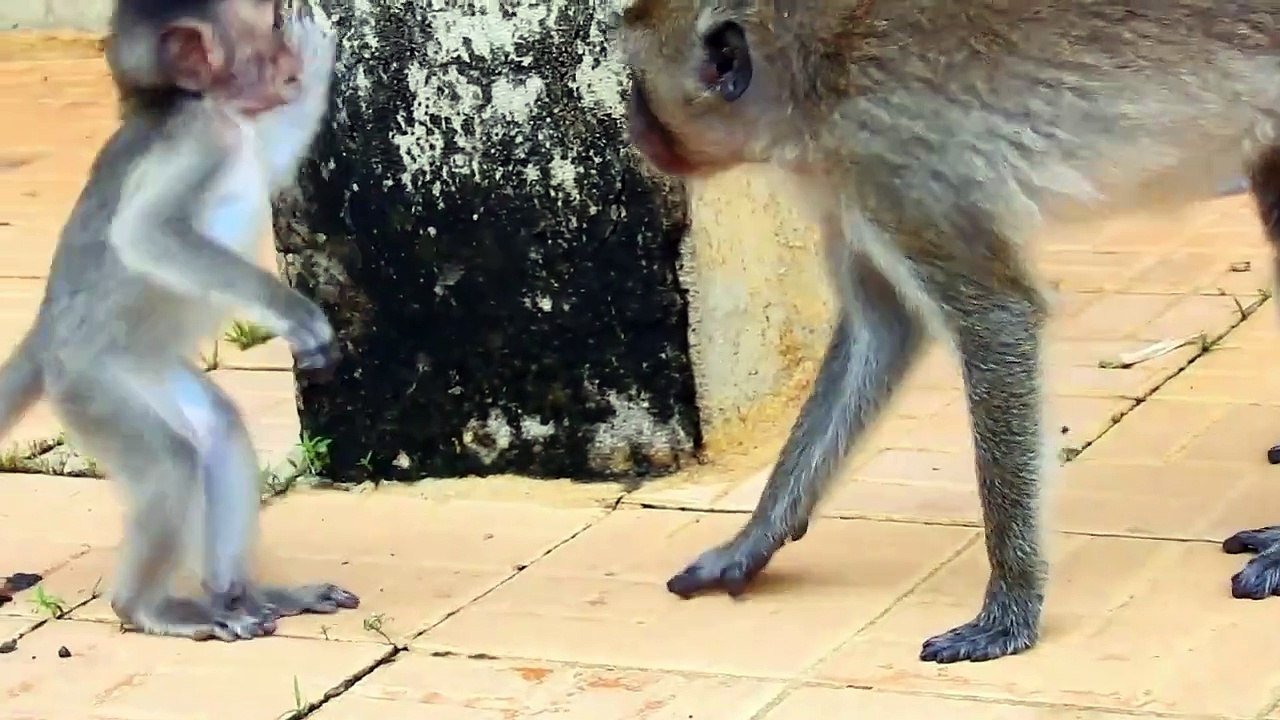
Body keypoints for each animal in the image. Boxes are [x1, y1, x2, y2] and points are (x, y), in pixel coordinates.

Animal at [0, 0, 359, 641]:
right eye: (268, 26)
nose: (289, 62)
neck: (199, 106)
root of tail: (46, 333)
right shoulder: (200, 140)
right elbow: (146, 233)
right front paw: (298, 317)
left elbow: (274, 158)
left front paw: (318, 55)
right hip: (92, 386)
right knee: (170, 464)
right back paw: (148, 608)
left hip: (144, 370)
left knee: (218, 430)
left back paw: (240, 594)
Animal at [616, 0, 1280, 663]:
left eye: (638, 86)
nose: (632, 124)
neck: (810, 72)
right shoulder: (844, 180)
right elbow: (884, 326)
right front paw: (755, 538)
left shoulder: (895, 159)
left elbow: (999, 314)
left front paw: (1011, 607)